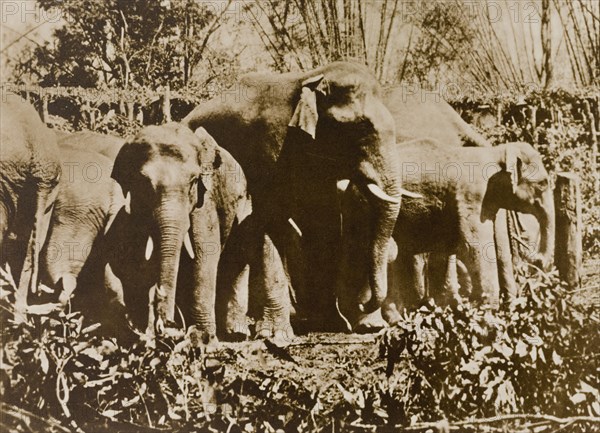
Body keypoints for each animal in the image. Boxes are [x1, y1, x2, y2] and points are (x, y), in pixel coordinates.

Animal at [180, 60, 414, 330]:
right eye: (361, 127)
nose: (362, 304)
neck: (311, 79)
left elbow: (323, 219)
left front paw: (331, 323)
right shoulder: (268, 147)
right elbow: (273, 217)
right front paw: (275, 332)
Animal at [340, 140, 556, 326]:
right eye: (543, 183)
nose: (538, 259)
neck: (495, 152)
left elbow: (445, 252)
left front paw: (445, 312)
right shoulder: (471, 196)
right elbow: (473, 247)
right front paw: (488, 316)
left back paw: (392, 319)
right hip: (365, 206)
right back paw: (371, 323)